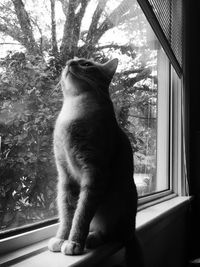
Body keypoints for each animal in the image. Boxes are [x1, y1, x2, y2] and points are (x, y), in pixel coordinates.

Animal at [47, 56, 140, 266]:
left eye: (86, 64)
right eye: (69, 61)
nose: (69, 64)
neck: (74, 110)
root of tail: (132, 231)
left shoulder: (94, 174)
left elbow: (81, 215)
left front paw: (74, 242)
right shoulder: (65, 178)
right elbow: (67, 215)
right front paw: (61, 238)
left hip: (118, 204)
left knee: (111, 235)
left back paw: (92, 237)